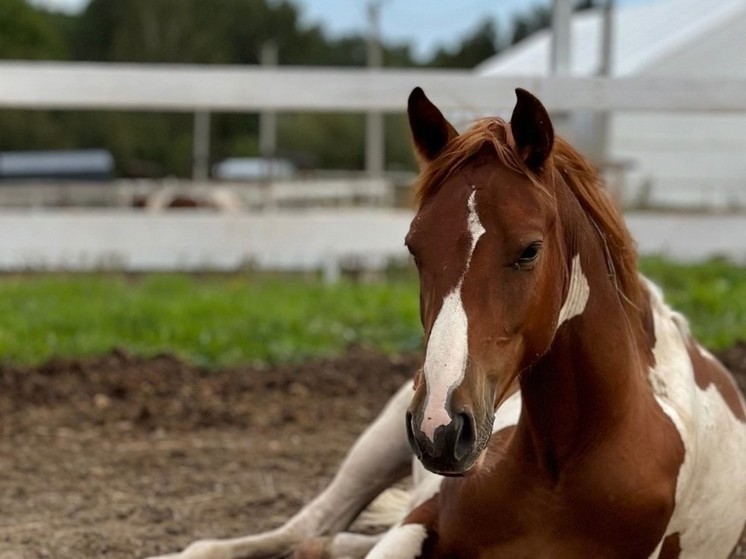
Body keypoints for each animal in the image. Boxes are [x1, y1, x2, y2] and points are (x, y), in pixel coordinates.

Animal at [148, 86, 744, 559]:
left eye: (530, 250)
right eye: (414, 247)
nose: (439, 427)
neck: (568, 462)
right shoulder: (419, 520)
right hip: (381, 442)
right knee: (300, 526)